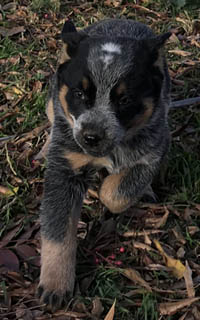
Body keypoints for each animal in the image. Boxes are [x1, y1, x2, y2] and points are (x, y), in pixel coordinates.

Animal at [38, 18, 172, 310]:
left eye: (125, 99)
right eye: (79, 93)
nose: (91, 136)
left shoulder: (154, 149)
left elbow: (115, 193)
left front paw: (109, 187)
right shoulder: (65, 167)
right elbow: (57, 231)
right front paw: (55, 284)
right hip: (52, 101)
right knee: (52, 115)